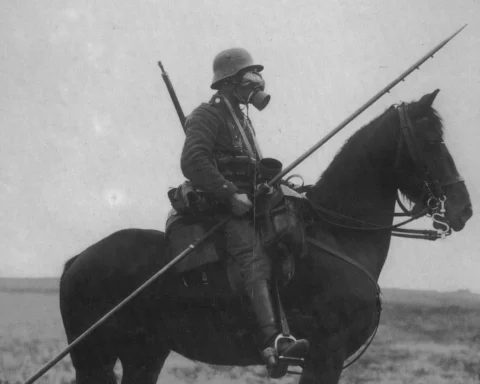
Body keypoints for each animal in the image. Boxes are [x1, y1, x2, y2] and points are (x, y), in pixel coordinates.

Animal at [60, 91, 472, 384]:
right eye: (432, 140)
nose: (463, 208)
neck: (340, 236)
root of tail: (77, 260)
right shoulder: (325, 354)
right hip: (94, 358)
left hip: (144, 355)